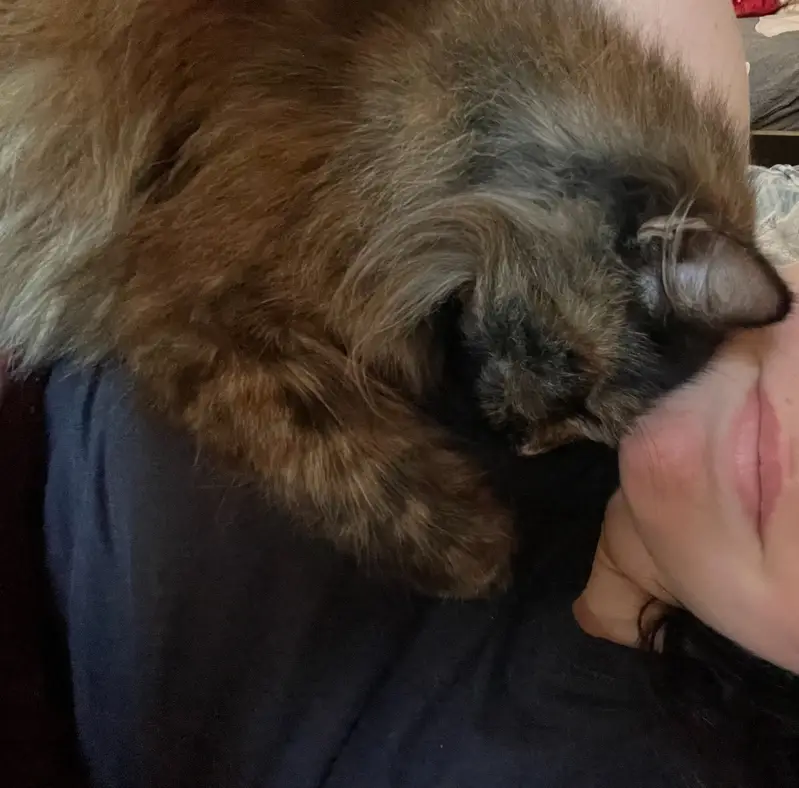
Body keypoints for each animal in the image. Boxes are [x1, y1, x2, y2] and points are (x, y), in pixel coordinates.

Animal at [0, 0, 791, 598]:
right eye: (578, 386)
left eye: (591, 430)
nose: (528, 445)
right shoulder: (186, 302)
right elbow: (337, 447)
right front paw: (474, 546)